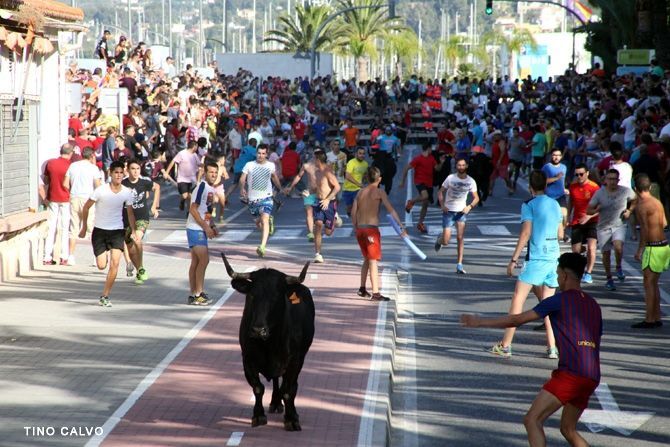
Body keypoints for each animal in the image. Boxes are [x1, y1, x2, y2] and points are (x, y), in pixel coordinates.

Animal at [221, 252, 315, 431]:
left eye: (276, 297)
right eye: (252, 295)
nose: (258, 330)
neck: (269, 344)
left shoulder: (294, 361)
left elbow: (289, 390)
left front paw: (291, 419)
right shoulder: (247, 358)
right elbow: (258, 387)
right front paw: (258, 416)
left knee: (292, 386)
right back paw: (275, 403)